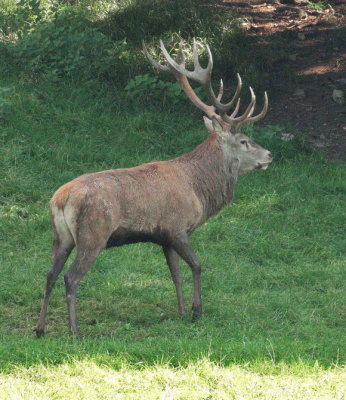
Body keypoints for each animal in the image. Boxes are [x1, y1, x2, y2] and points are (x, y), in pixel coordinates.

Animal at [35, 39, 274, 336]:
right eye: (244, 141)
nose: (269, 155)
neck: (199, 189)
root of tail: (60, 199)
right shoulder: (177, 227)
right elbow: (197, 265)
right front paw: (196, 311)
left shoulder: (164, 237)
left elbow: (176, 274)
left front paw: (180, 312)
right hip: (93, 233)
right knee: (71, 277)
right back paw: (75, 331)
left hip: (61, 236)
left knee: (50, 273)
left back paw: (40, 328)